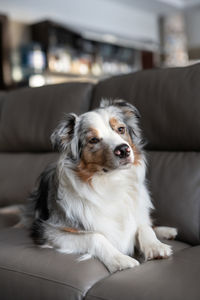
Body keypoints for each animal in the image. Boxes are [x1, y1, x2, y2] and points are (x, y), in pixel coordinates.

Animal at [23, 99, 177, 274]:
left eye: (121, 129)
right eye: (93, 140)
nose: (123, 150)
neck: (111, 181)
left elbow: (144, 226)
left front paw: (155, 245)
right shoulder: (50, 230)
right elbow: (95, 236)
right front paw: (120, 259)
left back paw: (167, 231)